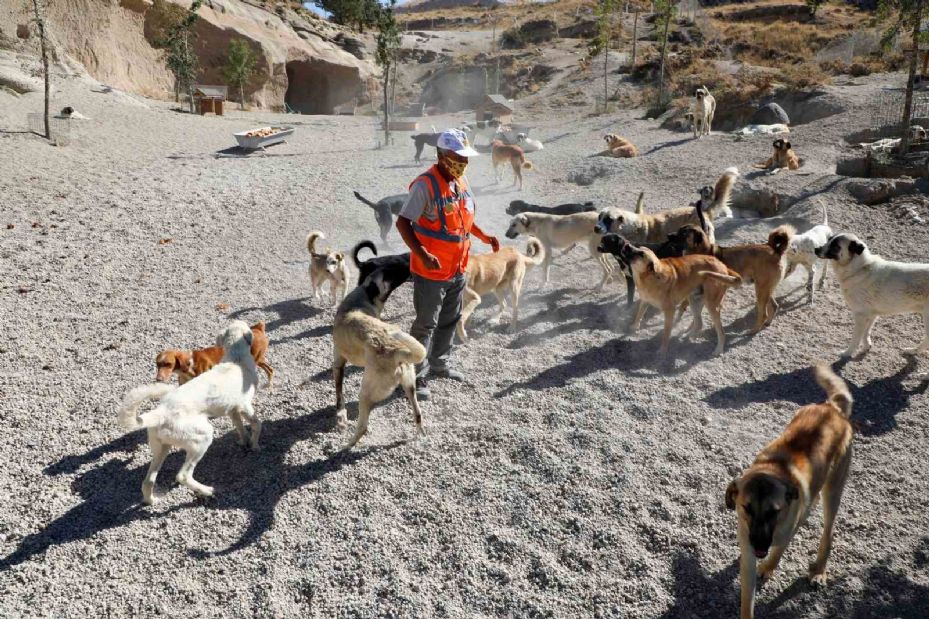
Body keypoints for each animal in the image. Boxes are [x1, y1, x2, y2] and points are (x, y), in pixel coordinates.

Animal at [118, 322, 260, 506]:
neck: (237, 359)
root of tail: (160, 412)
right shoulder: (244, 406)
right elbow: (257, 425)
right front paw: (255, 446)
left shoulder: (233, 410)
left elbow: (240, 428)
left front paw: (244, 442)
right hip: (202, 438)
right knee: (182, 476)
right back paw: (206, 491)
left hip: (161, 448)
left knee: (147, 482)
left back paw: (151, 500)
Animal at [332, 268, 426, 448]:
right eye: (389, 274)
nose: (410, 272)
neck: (361, 297)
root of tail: (397, 351)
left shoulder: (338, 362)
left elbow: (339, 393)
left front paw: (340, 414)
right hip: (410, 387)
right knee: (418, 414)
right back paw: (421, 435)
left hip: (365, 394)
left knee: (363, 427)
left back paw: (346, 446)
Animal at [728, 366, 852, 616]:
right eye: (746, 508)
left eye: (773, 511)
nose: (759, 546)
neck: (773, 470)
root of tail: (832, 408)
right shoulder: (747, 552)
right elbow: (747, 598)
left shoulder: (784, 532)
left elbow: (778, 551)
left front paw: (768, 567)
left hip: (834, 487)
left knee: (828, 530)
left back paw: (819, 570)